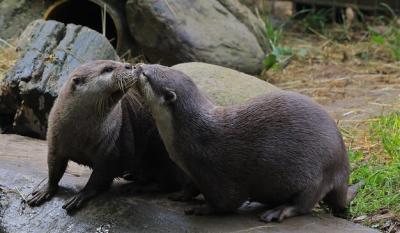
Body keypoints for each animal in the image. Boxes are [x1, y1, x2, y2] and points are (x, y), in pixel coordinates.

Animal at [26, 60, 186, 213]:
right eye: (108, 69)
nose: (130, 65)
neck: (81, 136)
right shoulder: (55, 142)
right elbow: (54, 168)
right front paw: (45, 190)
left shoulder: (113, 152)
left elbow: (99, 178)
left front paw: (81, 195)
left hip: (162, 153)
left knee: (169, 183)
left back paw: (138, 186)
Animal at [130, 63, 356, 222]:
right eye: (153, 65)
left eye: (146, 75)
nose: (136, 65)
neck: (188, 133)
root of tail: (343, 166)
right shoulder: (194, 173)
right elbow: (191, 187)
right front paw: (180, 195)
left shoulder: (214, 169)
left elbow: (226, 202)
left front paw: (202, 208)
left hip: (318, 175)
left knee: (304, 204)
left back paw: (279, 211)